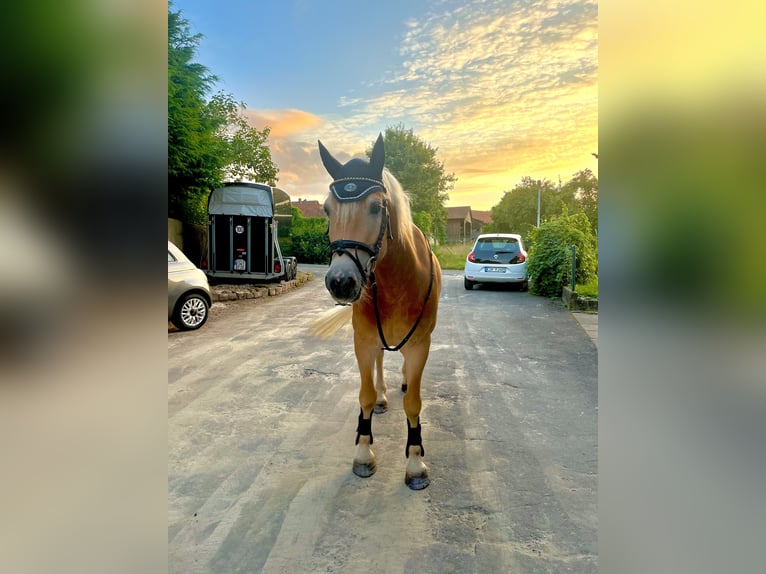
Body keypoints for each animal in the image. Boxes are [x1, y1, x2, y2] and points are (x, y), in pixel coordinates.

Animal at [312, 133, 442, 490]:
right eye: (327, 209)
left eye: (376, 206)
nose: (341, 282)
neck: (397, 280)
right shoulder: (364, 341)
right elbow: (365, 395)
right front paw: (363, 453)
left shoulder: (420, 345)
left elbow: (414, 403)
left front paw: (415, 462)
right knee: (382, 363)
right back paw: (385, 396)